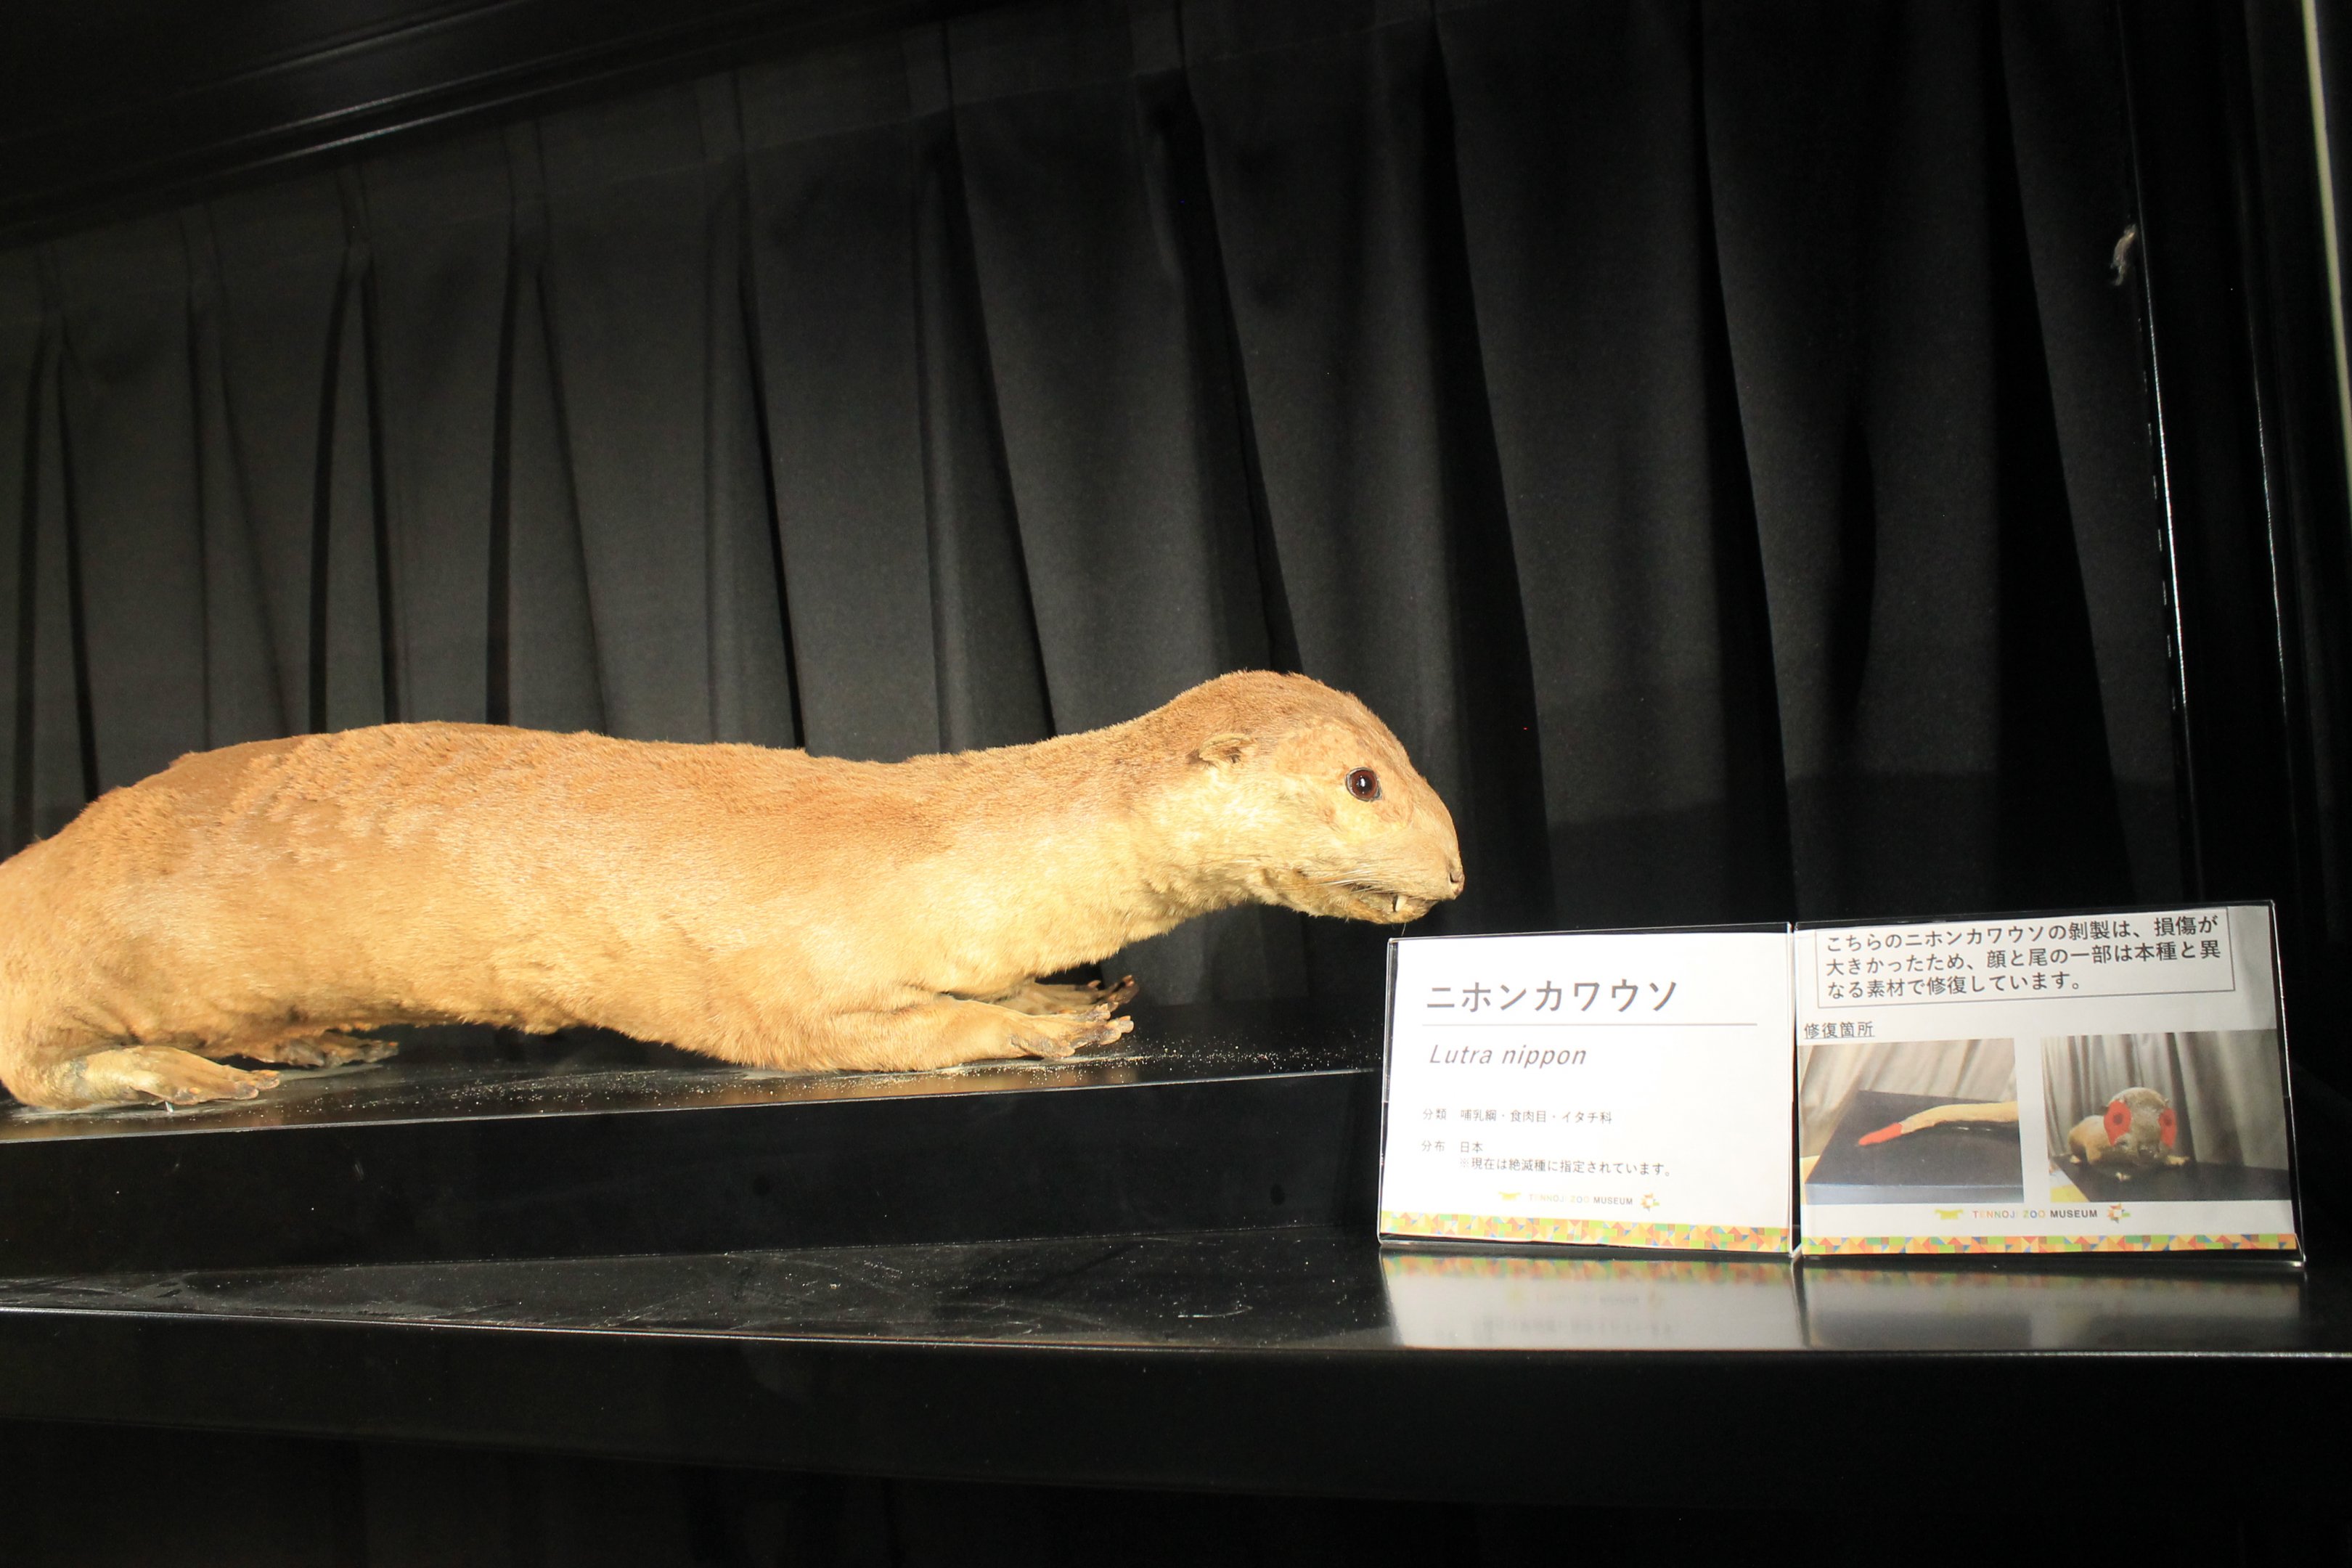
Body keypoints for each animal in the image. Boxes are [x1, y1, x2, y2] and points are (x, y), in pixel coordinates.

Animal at [0, 671, 1463, 1110]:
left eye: (1399, 755)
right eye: (1363, 784)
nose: (1457, 860)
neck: (932, 842)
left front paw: (1069, 988)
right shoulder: (778, 982)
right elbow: (854, 1034)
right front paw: (1032, 1026)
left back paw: (319, 1044)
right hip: (57, 972)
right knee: (40, 1071)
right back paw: (182, 1077)